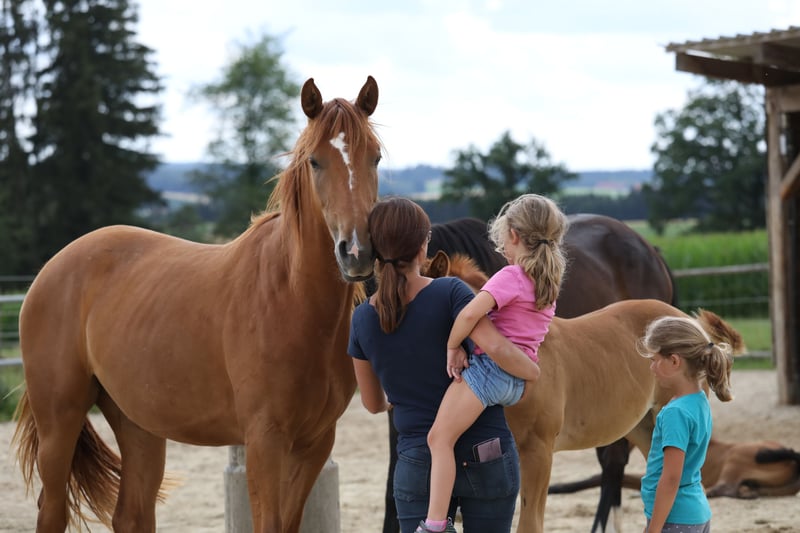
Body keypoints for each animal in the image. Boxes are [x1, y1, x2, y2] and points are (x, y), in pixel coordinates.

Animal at [12, 76, 382, 533]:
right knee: (53, 509)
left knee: (131, 514)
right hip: (59, 420)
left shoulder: (314, 444)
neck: (292, 299)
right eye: (315, 161)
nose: (357, 252)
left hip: (138, 423)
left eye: (375, 158)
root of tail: (50, 270)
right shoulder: (265, 441)